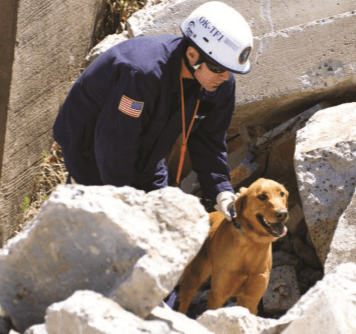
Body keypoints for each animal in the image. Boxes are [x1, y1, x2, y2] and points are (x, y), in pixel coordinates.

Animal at [178, 179, 290, 314]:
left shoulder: (251, 299)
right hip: (193, 278)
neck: (251, 244)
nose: (283, 213)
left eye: (282, 194)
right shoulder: (217, 295)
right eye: (262, 196)